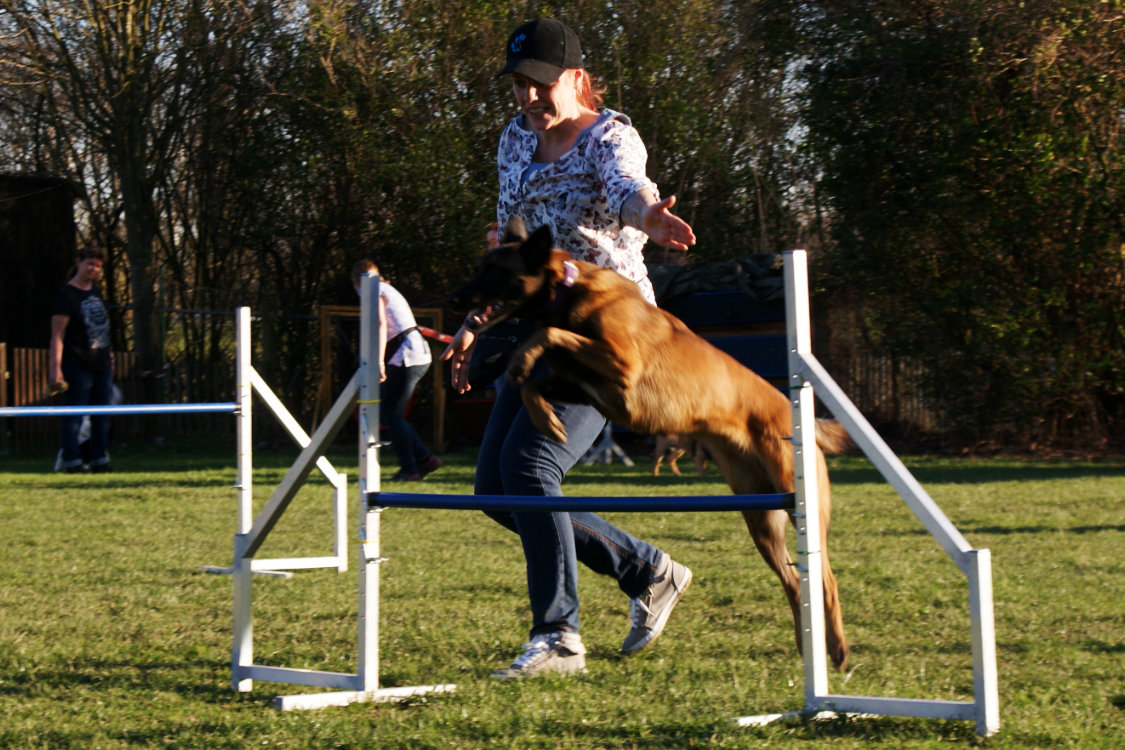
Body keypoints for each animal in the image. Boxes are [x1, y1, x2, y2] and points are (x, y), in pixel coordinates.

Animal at [447, 217, 850, 670]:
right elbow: (538, 379)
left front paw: (520, 363)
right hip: (762, 518)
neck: (566, 291)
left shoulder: (620, 364)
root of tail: (795, 414)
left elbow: (548, 334)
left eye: (493, 272)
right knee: (796, 581)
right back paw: (807, 645)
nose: (452, 300)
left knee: (824, 579)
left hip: (796, 505)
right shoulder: (587, 387)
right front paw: (545, 417)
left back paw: (836, 651)